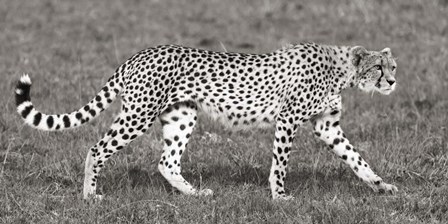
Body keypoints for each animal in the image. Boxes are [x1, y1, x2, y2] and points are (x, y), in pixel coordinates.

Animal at [14, 42, 400, 200]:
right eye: (379, 68)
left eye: (393, 66)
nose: (393, 82)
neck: (342, 69)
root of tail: (139, 54)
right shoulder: (288, 119)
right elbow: (280, 164)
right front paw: (279, 196)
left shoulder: (327, 126)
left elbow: (357, 159)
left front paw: (381, 186)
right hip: (138, 114)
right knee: (96, 149)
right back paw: (90, 195)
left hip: (182, 115)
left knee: (167, 162)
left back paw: (196, 194)